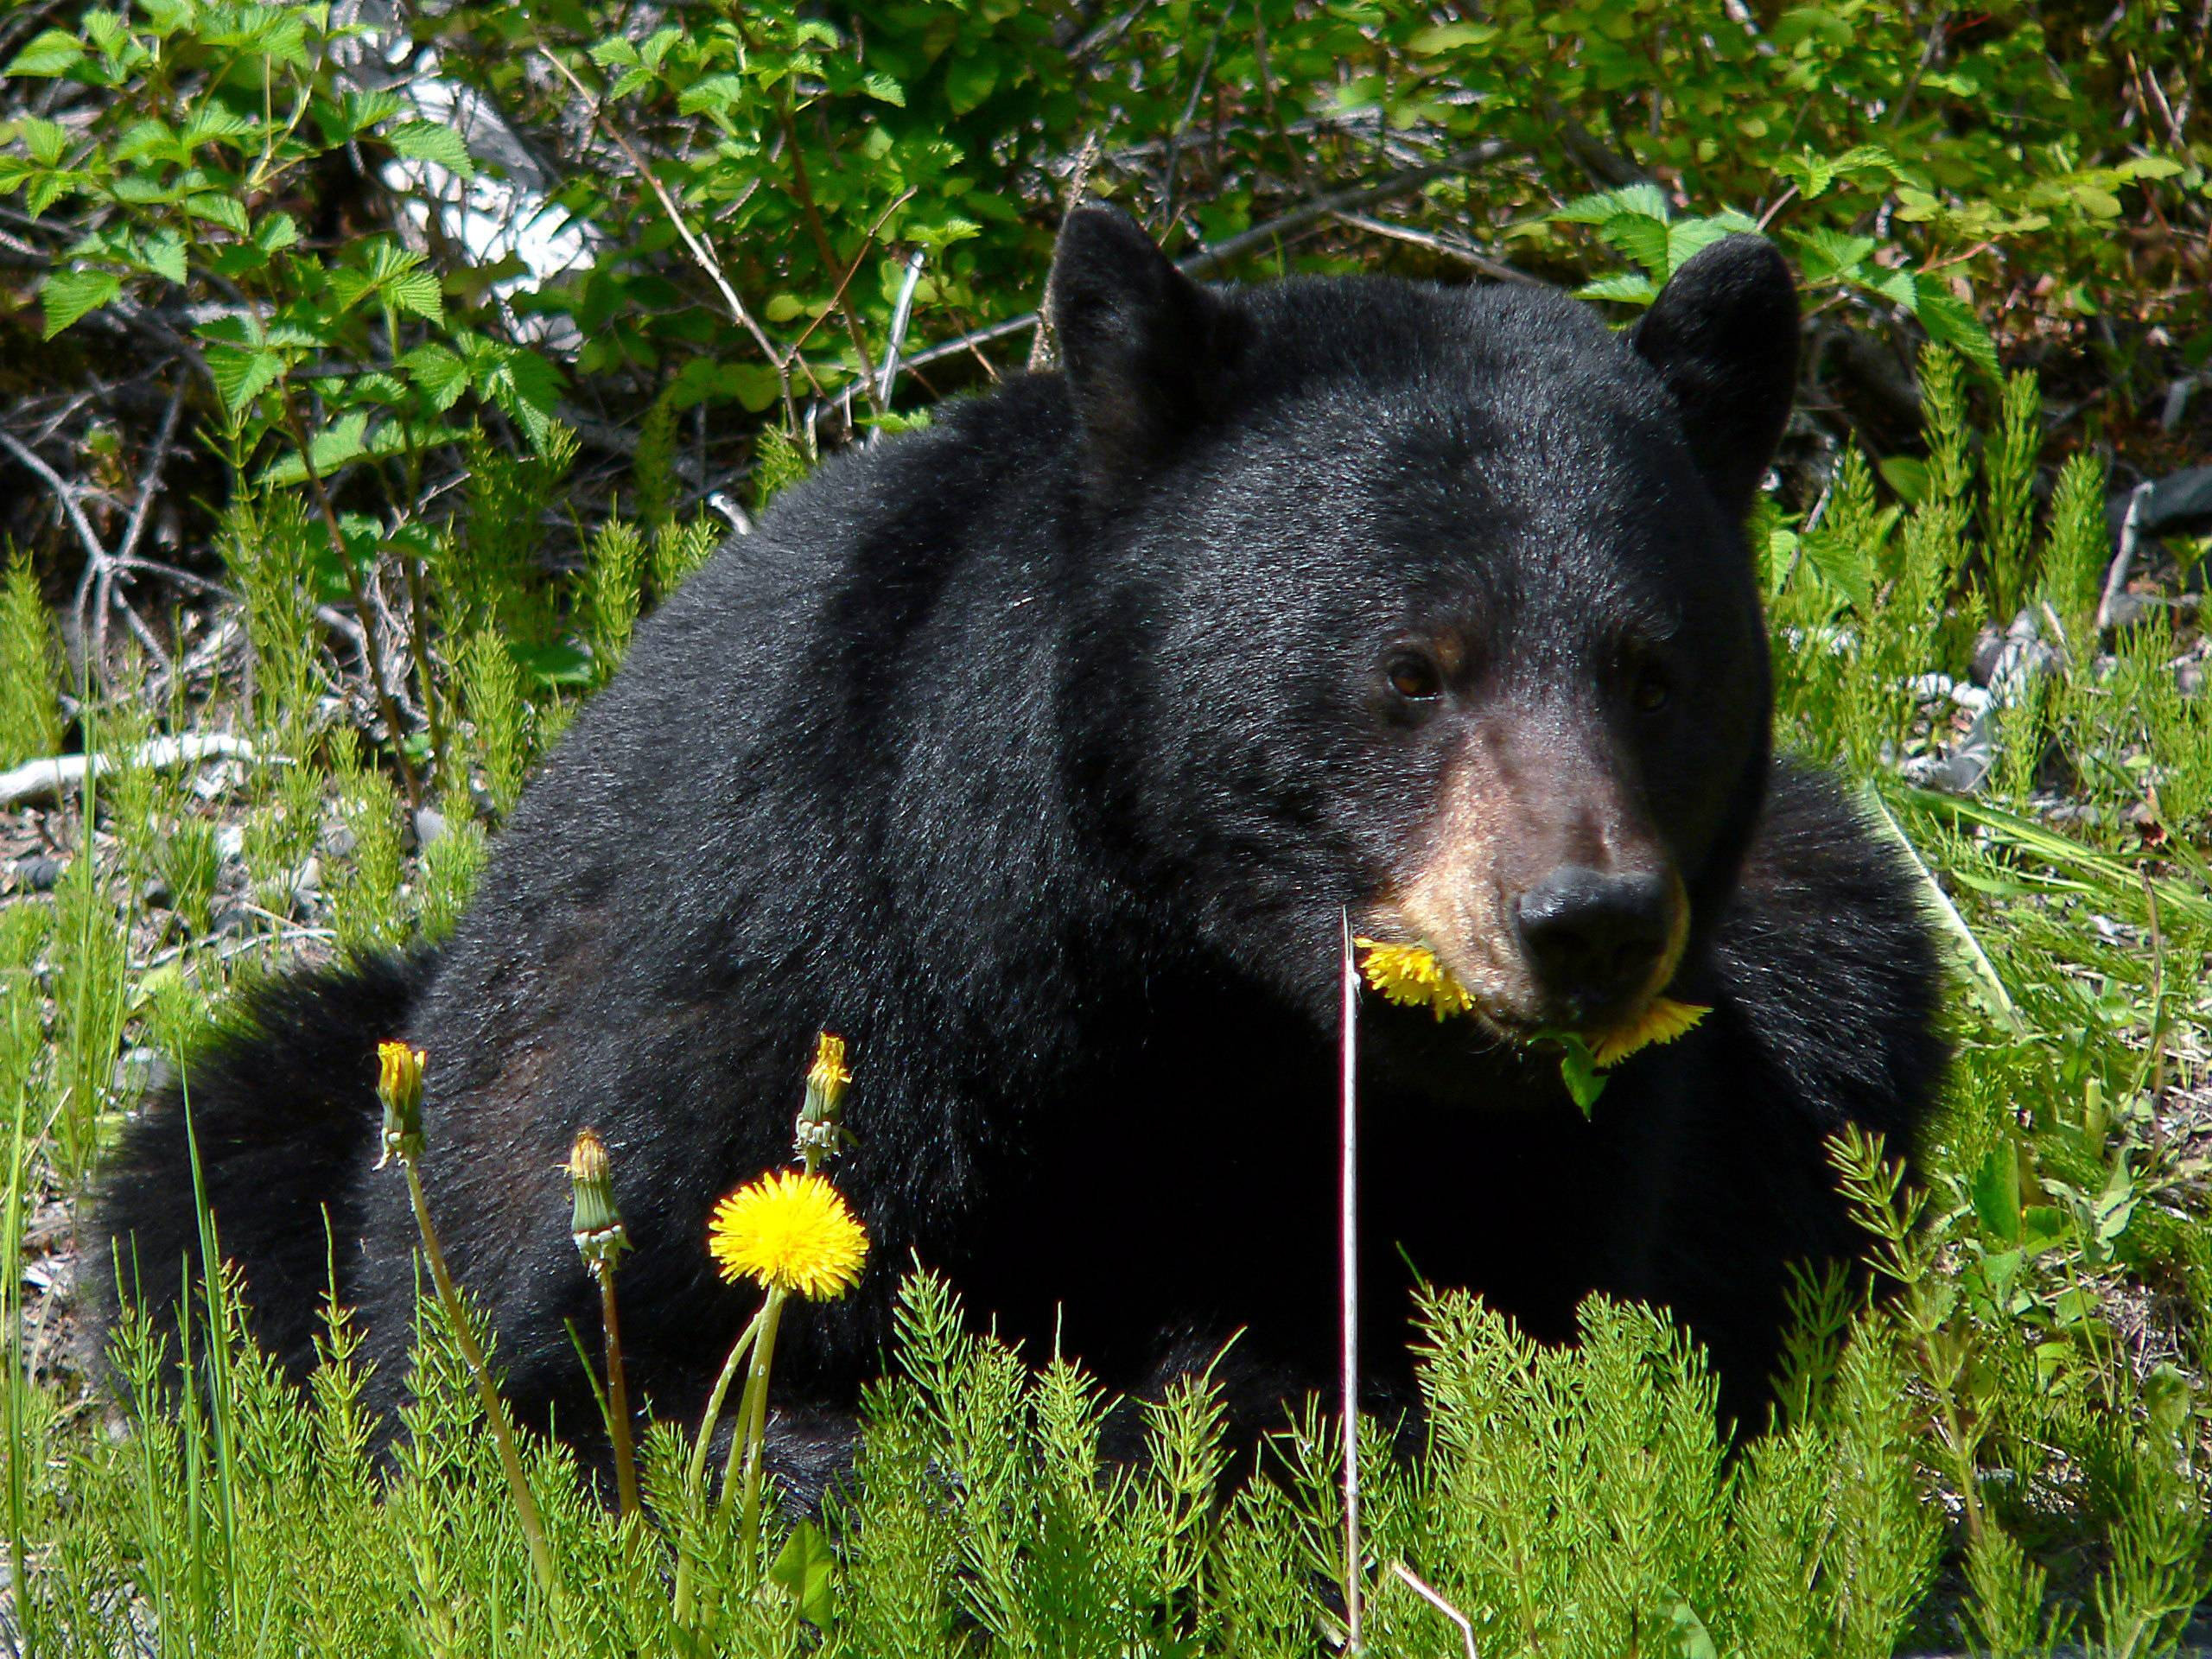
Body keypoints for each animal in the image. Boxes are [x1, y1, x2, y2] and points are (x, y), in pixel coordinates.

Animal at [99, 204, 1937, 1451]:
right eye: (1413, 668)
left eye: (1655, 669)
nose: (1586, 922)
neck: (1180, 996)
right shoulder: (785, 973)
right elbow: (595, 1361)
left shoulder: (1544, 1150)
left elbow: (1512, 1325)